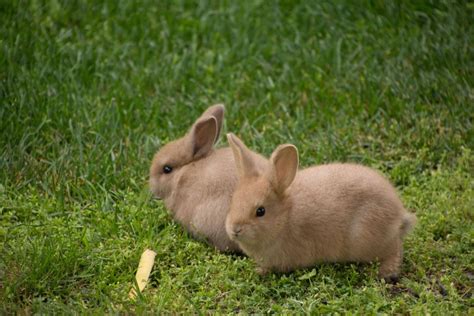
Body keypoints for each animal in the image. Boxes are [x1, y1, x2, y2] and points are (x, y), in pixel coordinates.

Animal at [225, 133, 414, 282]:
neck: (285, 218)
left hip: (368, 238)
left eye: (260, 211)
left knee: (395, 250)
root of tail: (399, 213)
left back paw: (386, 273)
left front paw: (261, 272)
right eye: (233, 201)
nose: (235, 229)